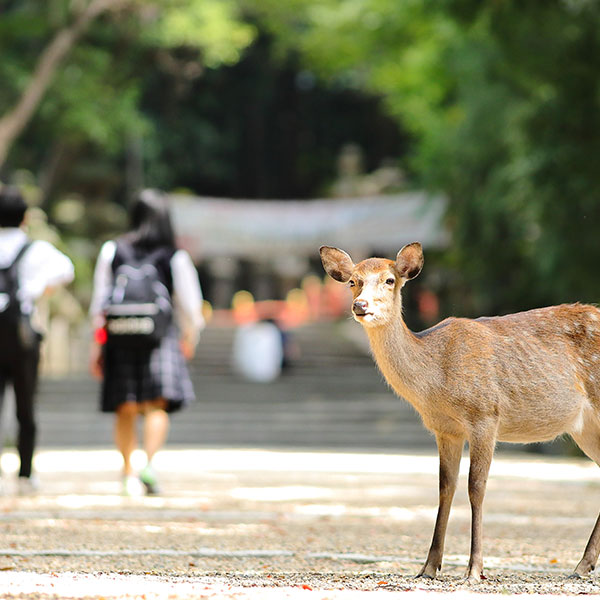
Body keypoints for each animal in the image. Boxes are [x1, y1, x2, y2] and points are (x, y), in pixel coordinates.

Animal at [322, 243, 600, 580]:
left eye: (389, 280)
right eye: (353, 281)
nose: (360, 305)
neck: (436, 382)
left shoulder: (485, 414)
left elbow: (476, 487)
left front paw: (475, 568)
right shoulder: (445, 429)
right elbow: (445, 487)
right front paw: (429, 567)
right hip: (585, 428)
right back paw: (583, 565)